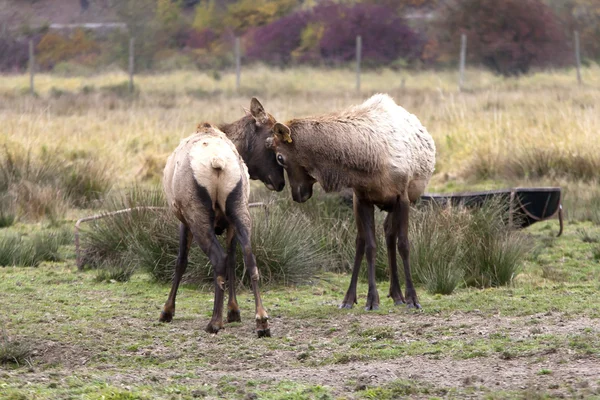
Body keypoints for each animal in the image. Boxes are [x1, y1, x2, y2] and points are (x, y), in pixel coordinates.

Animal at [264, 94, 434, 310]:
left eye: (280, 157)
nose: (297, 195)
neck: (370, 163)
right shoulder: (362, 198)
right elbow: (370, 246)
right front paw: (372, 300)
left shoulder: (402, 197)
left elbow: (404, 244)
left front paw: (413, 298)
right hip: (360, 203)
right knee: (362, 241)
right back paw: (353, 298)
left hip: (396, 203)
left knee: (390, 234)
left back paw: (397, 294)